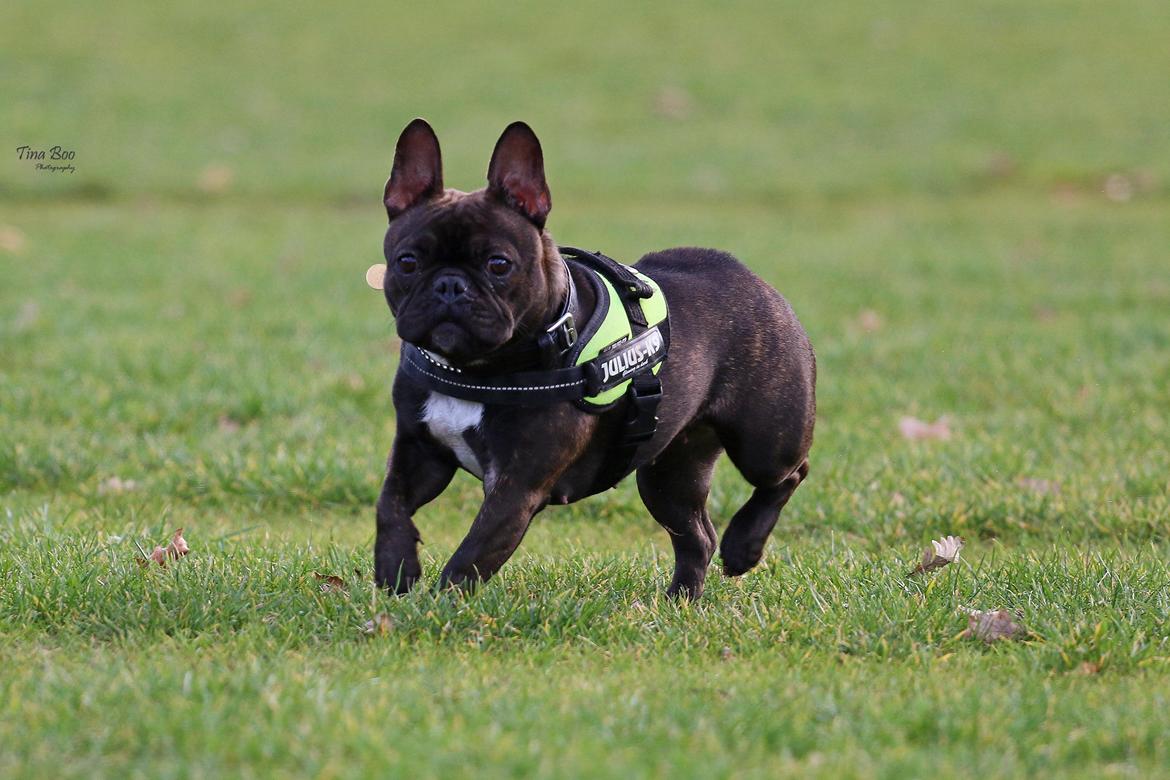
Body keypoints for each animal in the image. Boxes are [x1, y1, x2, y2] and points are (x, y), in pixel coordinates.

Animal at [374, 119, 814, 603]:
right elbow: (390, 505)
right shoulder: (419, 452)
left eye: (498, 264)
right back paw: (679, 600)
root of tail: (753, 279)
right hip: (669, 472)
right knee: (695, 534)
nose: (450, 286)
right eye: (407, 262)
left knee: (787, 476)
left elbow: (470, 556)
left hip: (765, 438)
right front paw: (395, 571)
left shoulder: (516, 488)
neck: (476, 367)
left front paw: (434, 608)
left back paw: (744, 546)